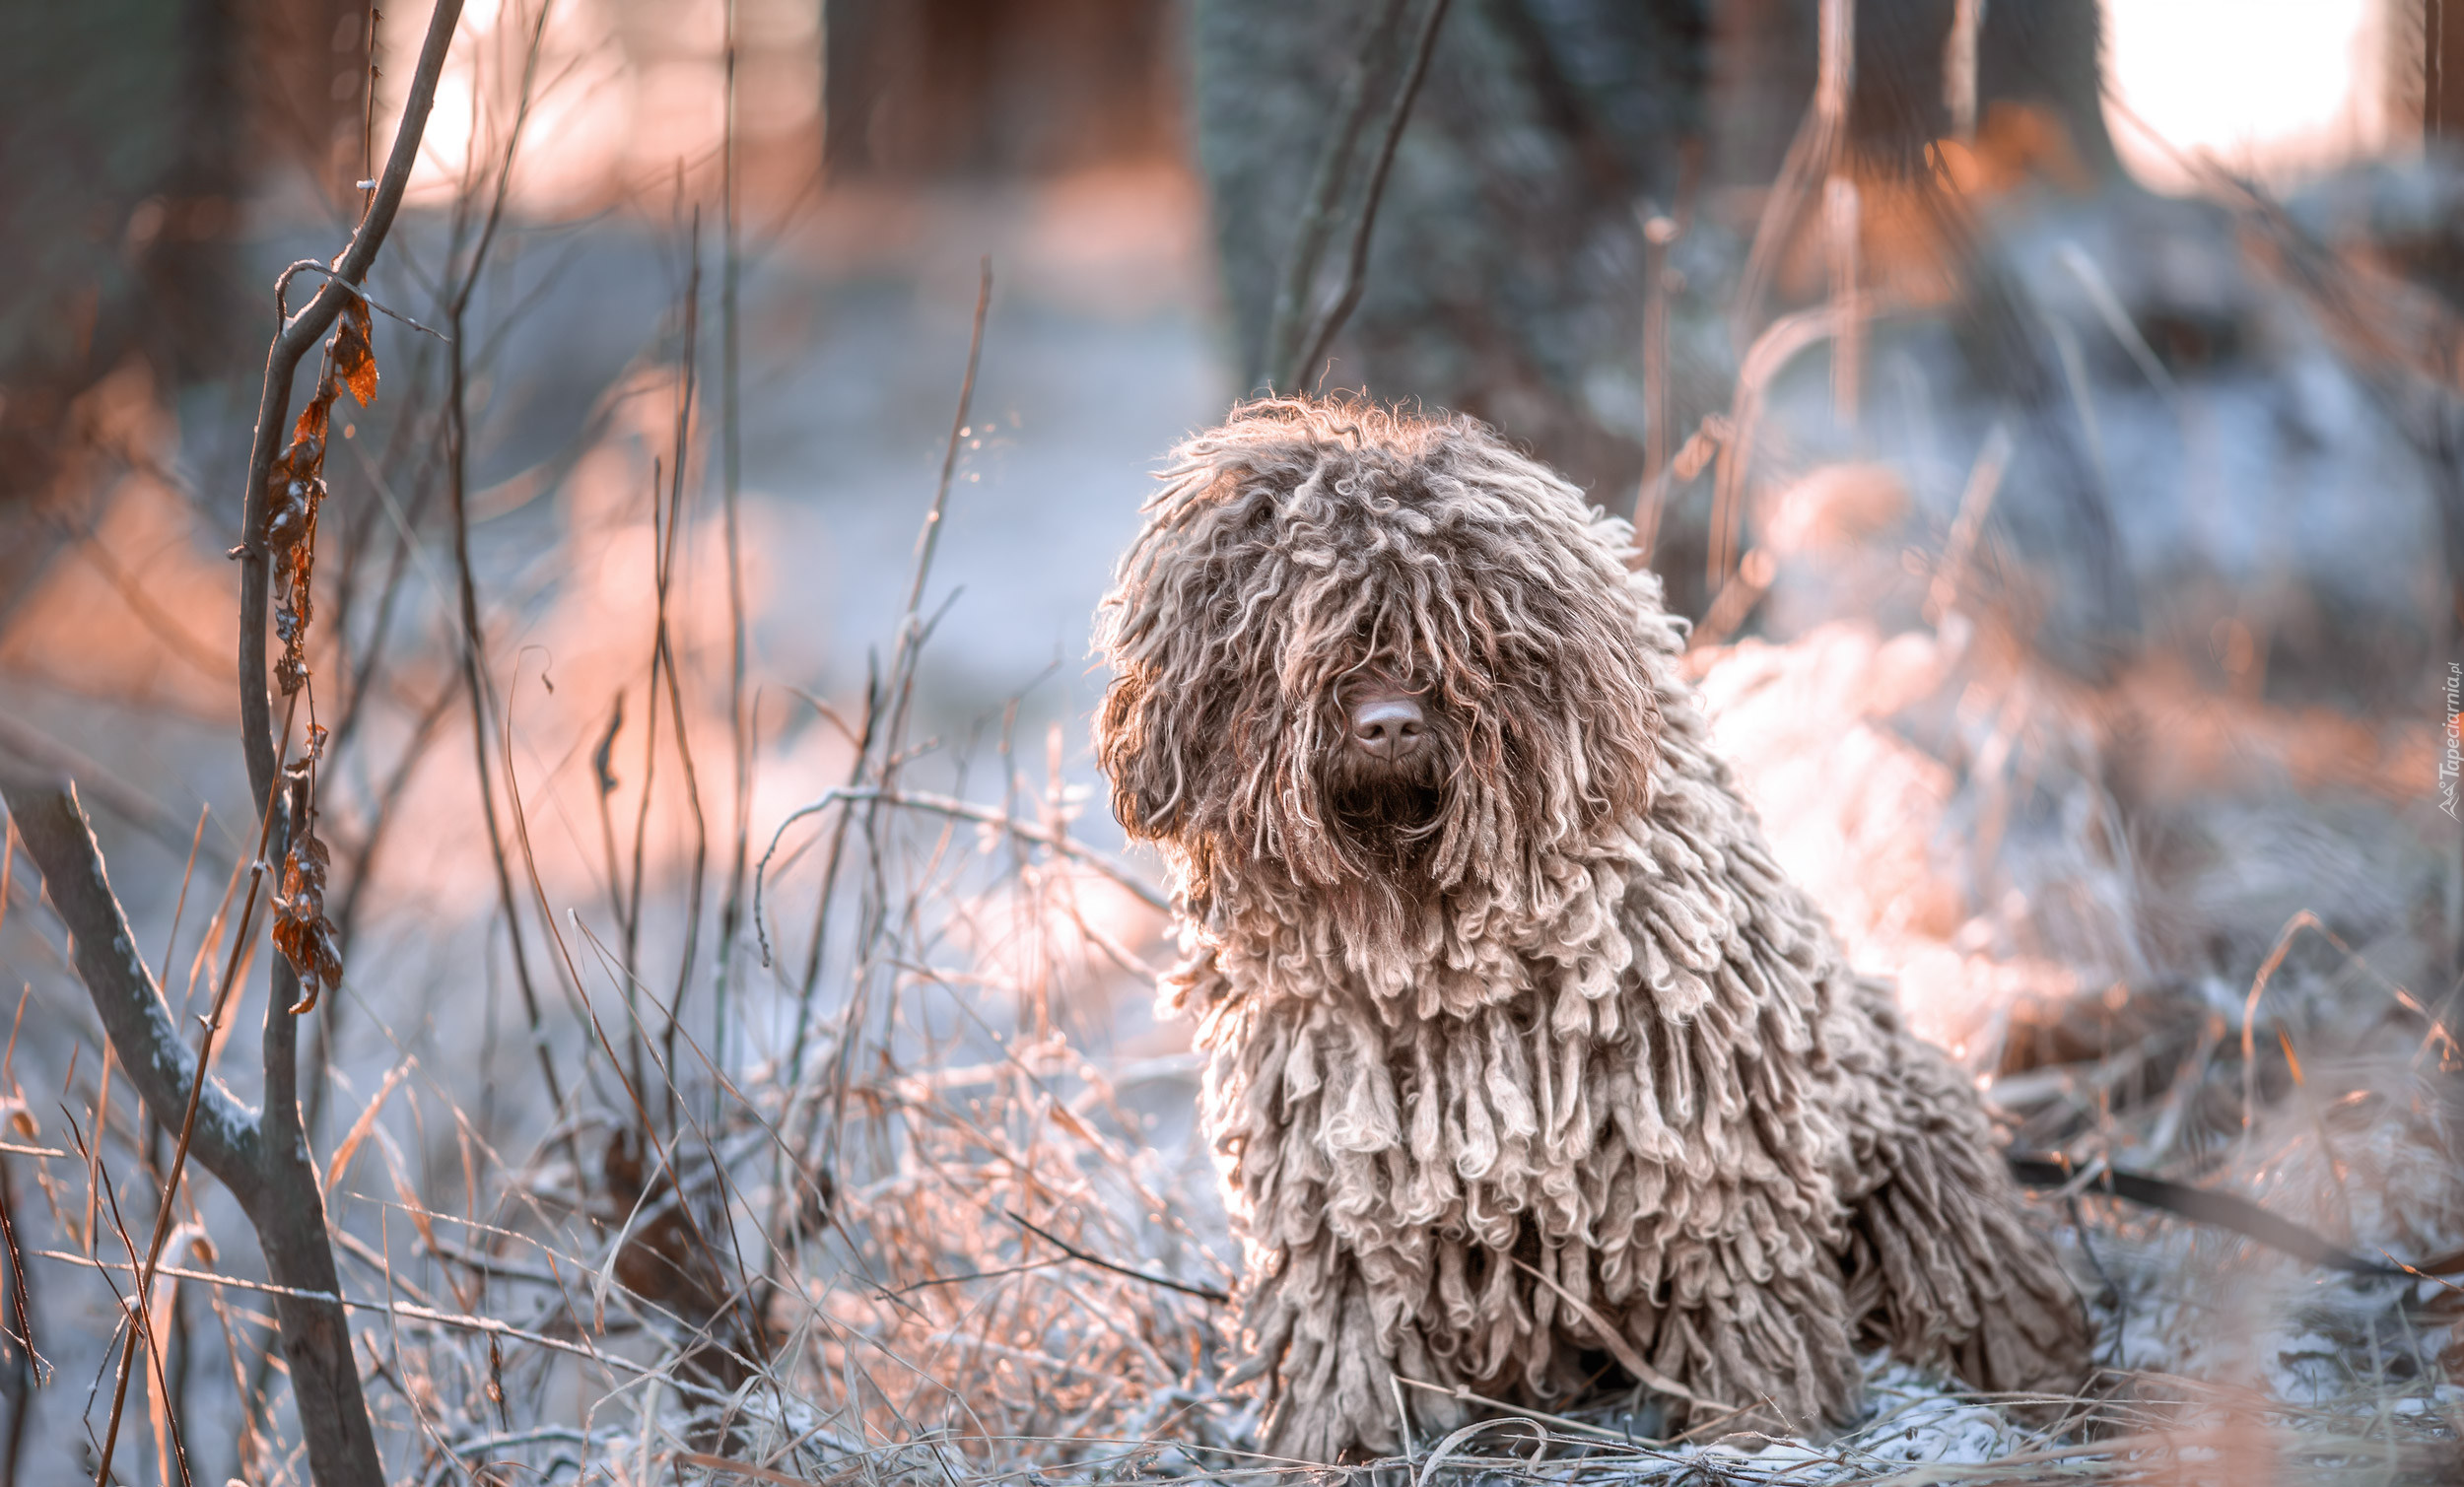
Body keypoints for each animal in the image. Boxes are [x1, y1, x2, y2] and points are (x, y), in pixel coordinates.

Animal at [1089, 398, 2089, 1467]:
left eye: (1464, 629)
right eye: (1301, 633)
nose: (1390, 724)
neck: (1438, 953)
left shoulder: (1709, 1150)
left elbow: (1740, 1294)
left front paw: (1757, 1427)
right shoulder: (1337, 1194)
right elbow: (1351, 1335)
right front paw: (1344, 1447)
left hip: (1913, 1155)